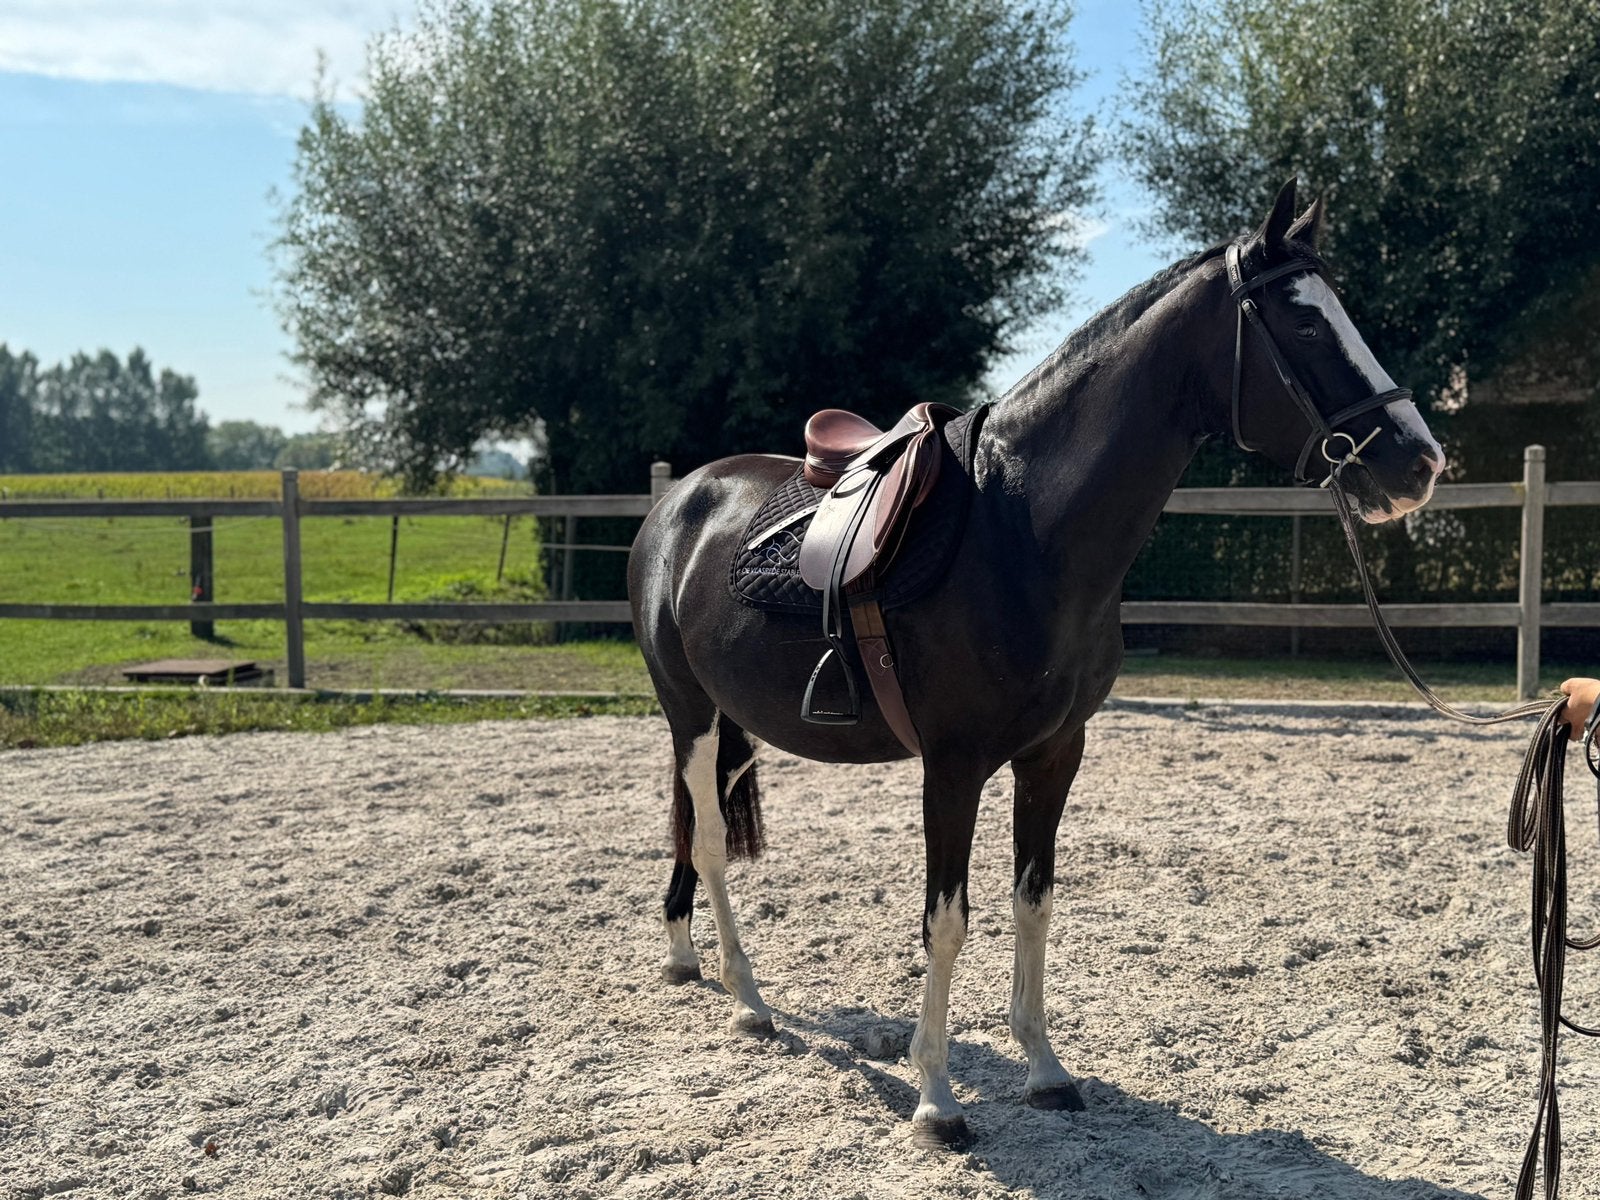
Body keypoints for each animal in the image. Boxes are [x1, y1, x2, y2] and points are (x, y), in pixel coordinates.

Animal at [626, 179, 1445, 1146]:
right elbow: (946, 919)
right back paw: (747, 1000)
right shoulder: (953, 765)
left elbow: (1034, 900)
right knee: (714, 841)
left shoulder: (1054, 754)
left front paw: (1045, 1069)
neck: (1020, 530)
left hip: (734, 725)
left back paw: (687, 957)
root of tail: (680, 496)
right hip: (690, 713)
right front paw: (936, 1099)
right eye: (1306, 326)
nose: (1420, 463)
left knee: (695, 824)